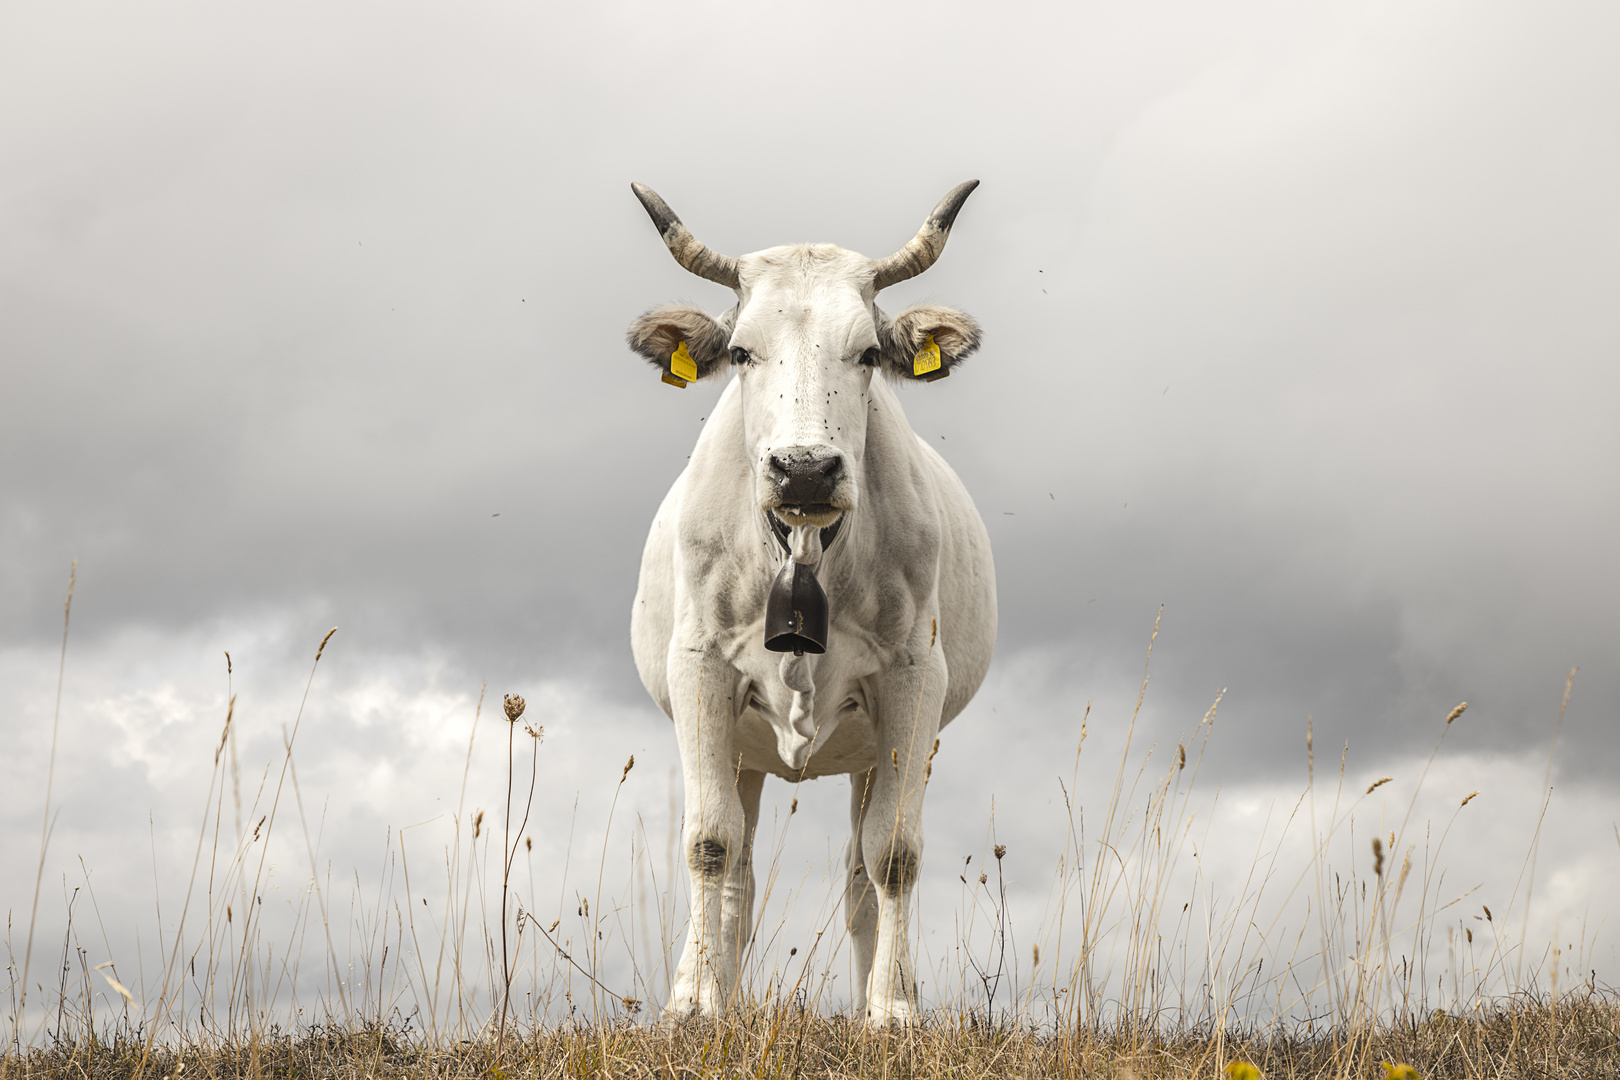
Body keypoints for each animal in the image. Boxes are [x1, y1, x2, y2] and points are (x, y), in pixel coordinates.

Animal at [622, 181, 991, 1029]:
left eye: (869, 355)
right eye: (741, 352)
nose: (804, 470)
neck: (803, 549)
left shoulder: (912, 680)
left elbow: (893, 853)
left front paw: (892, 1011)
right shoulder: (701, 671)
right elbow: (710, 844)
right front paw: (697, 1006)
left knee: (861, 875)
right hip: (741, 748)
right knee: (737, 875)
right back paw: (703, 990)